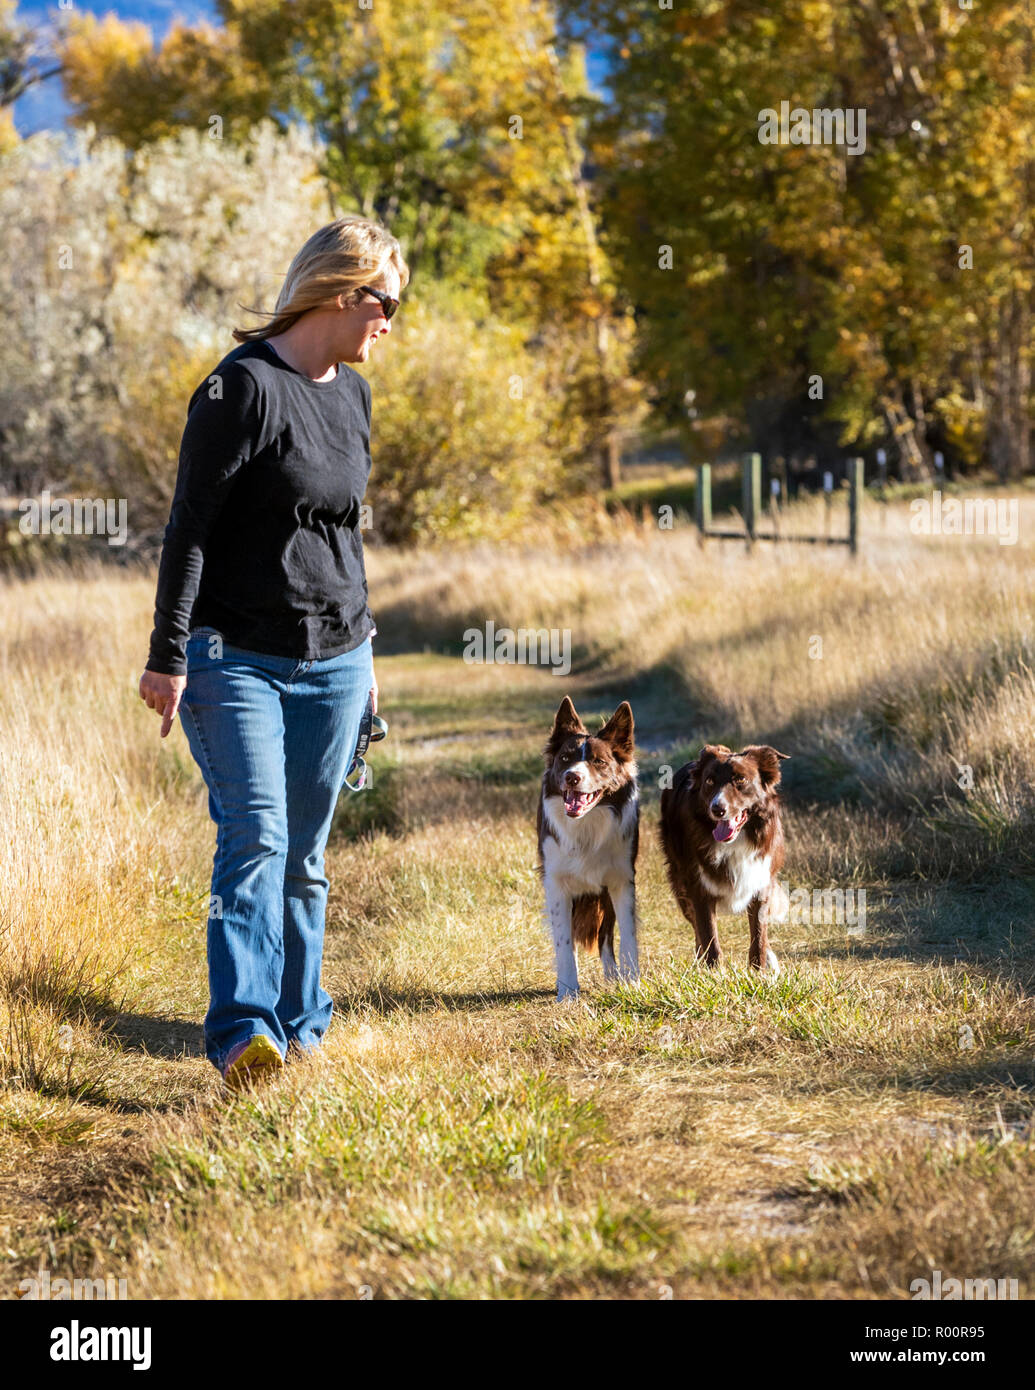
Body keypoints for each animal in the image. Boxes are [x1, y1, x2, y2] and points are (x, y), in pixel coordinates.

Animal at [533, 695, 639, 1000]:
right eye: (565, 759)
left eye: (598, 761)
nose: (572, 777)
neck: (586, 824)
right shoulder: (556, 883)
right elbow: (564, 942)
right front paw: (568, 992)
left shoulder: (621, 879)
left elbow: (627, 936)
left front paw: (632, 983)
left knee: (605, 934)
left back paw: (613, 975)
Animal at [658, 745, 789, 973]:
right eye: (709, 781)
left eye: (741, 780)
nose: (717, 809)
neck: (737, 840)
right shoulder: (698, 888)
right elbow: (709, 935)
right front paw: (714, 973)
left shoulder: (761, 879)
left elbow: (759, 935)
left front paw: (759, 972)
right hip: (679, 881)